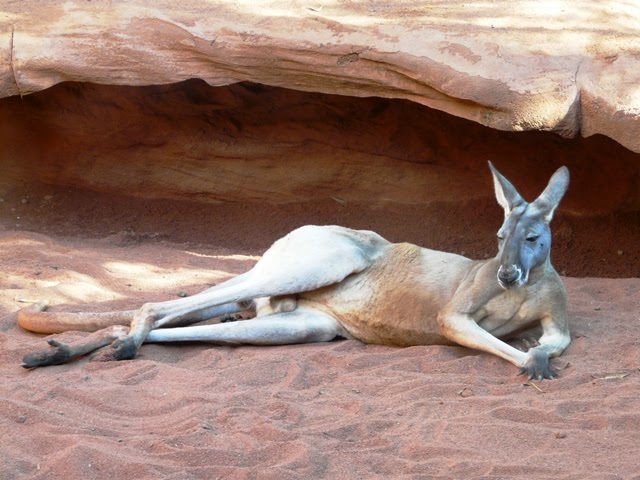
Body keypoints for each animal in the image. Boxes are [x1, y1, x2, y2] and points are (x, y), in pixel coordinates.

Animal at [20, 162, 570, 380]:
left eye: (532, 238)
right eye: (499, 237)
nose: (505, 275)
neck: (525, 288)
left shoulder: (555, 314)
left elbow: (556, 340)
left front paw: (538, 355)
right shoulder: (456, 311)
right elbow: (467, 328)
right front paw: (531, 362)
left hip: (308, 325)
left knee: (194, 323)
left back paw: (80, 349)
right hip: (324, 258)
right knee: (157, 304)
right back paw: (120, 342)